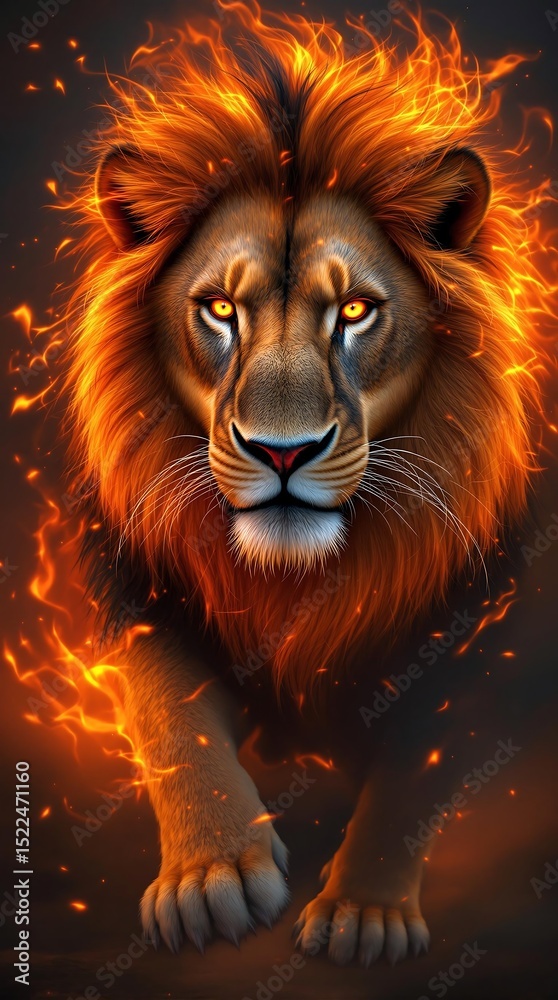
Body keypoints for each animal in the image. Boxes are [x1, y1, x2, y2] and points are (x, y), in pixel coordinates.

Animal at [63, 2, 544, 967]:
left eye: (354, 310)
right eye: (219, 308)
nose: (283, 452)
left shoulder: (483, 628)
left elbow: (420, 765)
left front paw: (366, 912)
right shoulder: (137, 585)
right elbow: (169, 714)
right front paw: (211, 873)